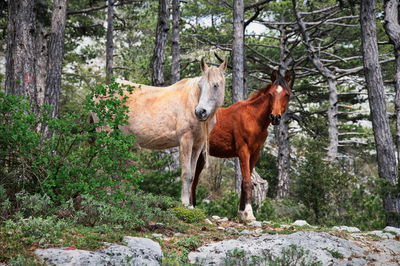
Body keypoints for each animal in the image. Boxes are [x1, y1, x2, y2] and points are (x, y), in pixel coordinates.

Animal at [189, 70, 292, 220]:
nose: (275, 117)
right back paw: (189, 206)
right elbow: (247, 182)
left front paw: (241, 212)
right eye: (271, 94)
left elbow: (245, 182)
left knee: (195, 179)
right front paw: (249, 213)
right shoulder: (243, 152)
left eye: (286, 94)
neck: (253, 118)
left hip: (201, 156)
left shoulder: (255, 154)